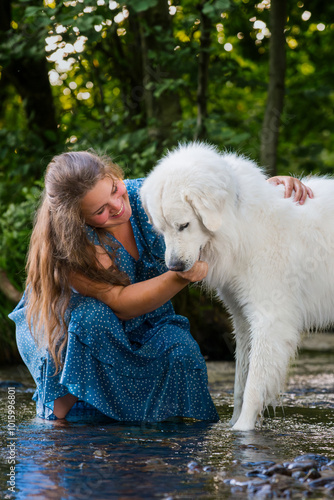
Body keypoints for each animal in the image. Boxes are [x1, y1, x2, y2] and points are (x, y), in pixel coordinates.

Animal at [140, 143, 334, 432]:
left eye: (183, 225)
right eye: (161, 230)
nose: (175, 267)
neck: (241, 225)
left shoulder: (269, 319)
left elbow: (254, 384)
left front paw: (242, 429)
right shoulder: (242, 320)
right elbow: (240, 381)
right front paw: (232, 423)